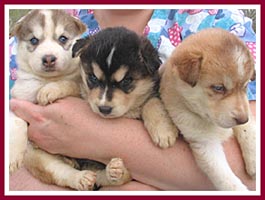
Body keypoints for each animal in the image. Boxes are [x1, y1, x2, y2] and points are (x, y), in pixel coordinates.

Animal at [9, 9, 131, 191]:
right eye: (33, 40)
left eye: (63, 38)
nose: (49, 58)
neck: (48, 79)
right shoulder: (18, 100)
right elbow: (16, 124)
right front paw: (12, 158)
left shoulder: (80, 89)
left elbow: (67, 84)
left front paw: (49, 90)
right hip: (40, 158)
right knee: (61, 173)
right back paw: (83, 177)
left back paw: (117, 172)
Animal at [160, 28, 255, 191]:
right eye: (218, 88)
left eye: (245, 86)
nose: (242, 119)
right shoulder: (204, 143)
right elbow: (226, 179)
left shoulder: (245, 109)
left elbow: (249, 130)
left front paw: (254, 162)